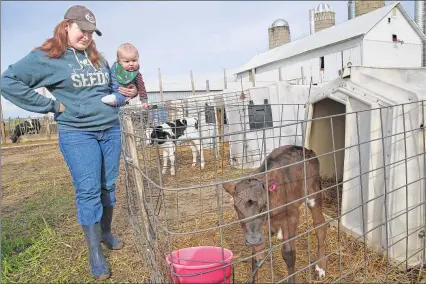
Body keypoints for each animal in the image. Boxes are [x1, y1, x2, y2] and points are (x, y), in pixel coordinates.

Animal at [221, 145, 328, 282]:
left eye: (264, 205)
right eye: (236, 208)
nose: (252, 239)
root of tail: (305, 149)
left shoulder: (292, 214)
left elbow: (289, 252)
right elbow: (256, 255)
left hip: (313, 193)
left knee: (320, 225)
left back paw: (320, 267)